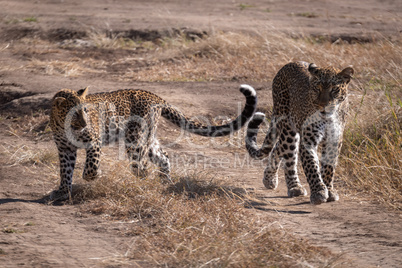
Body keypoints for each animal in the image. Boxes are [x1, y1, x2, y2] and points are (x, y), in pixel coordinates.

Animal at [51, 85, 258, 200]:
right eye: (74, 113)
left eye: (86, 110)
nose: (85, 124)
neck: (64, 125)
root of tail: (155, 97)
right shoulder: (64, 149)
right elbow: (65, 171)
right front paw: (63, 191)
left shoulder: (93, 142)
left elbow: (91, 166)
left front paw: (93, 176)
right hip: (147, 139)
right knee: (163, 156)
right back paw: (164, 182)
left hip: (135, 139)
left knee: (142, 167)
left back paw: (142, 187)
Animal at [247, 62, 354, 205]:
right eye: (317, 88)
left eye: (334, 89)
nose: (323, 105)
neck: (328, 118)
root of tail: (288, 64)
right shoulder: (308, 140)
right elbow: (312, 167)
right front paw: (319, 192)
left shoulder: (334, 139)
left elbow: (329, 167)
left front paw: (329, 190)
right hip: (288, 129)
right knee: (288, 158)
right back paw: (294, 187)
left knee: (277, 148)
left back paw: (269, 178)